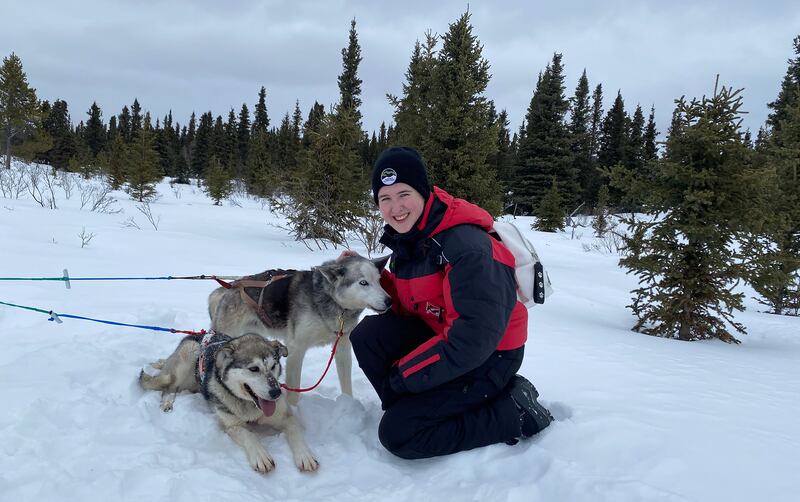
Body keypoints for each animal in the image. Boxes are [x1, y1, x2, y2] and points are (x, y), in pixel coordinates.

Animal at [141, 332, 318, 472]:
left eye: (274, 366)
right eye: (254, 369)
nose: (276, 393)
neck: (250, 406)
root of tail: (197, 335)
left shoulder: (286, 417)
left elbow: (295, 431)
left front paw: (305, 456)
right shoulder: (231, 425)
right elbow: (248, 434)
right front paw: (260, 455)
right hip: (189, 352)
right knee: (169, 387)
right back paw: (167, 402)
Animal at [208, 256, 392, 406]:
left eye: (379, 281)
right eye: (363, 282)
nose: (389, 301)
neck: (332, 302)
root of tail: (231, 287)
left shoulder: (342, 348)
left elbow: (346, 384)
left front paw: (349, 405)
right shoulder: (297, 349)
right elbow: (294, 389)